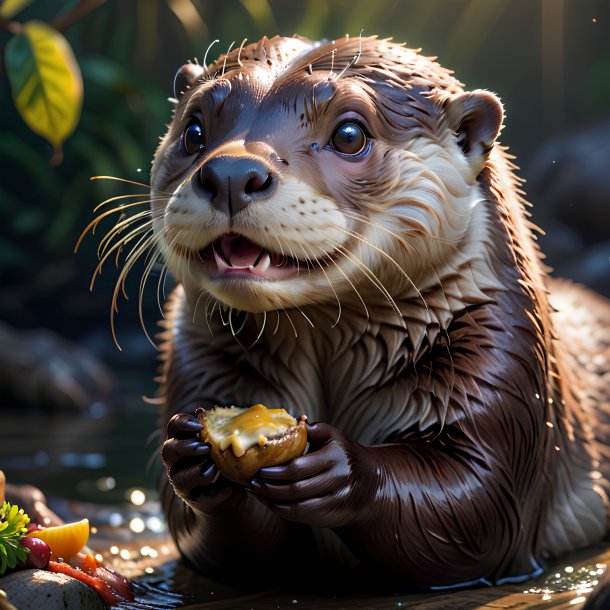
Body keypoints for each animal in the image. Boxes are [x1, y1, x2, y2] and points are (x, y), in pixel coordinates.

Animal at [146, 35, 608, 588]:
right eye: (194, 130)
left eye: (349, 134)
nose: (231, 172)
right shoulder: (194, 357)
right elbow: (215, 543)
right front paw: (192, 460)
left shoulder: (501, 362)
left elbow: (480, 506)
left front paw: (342, 469)